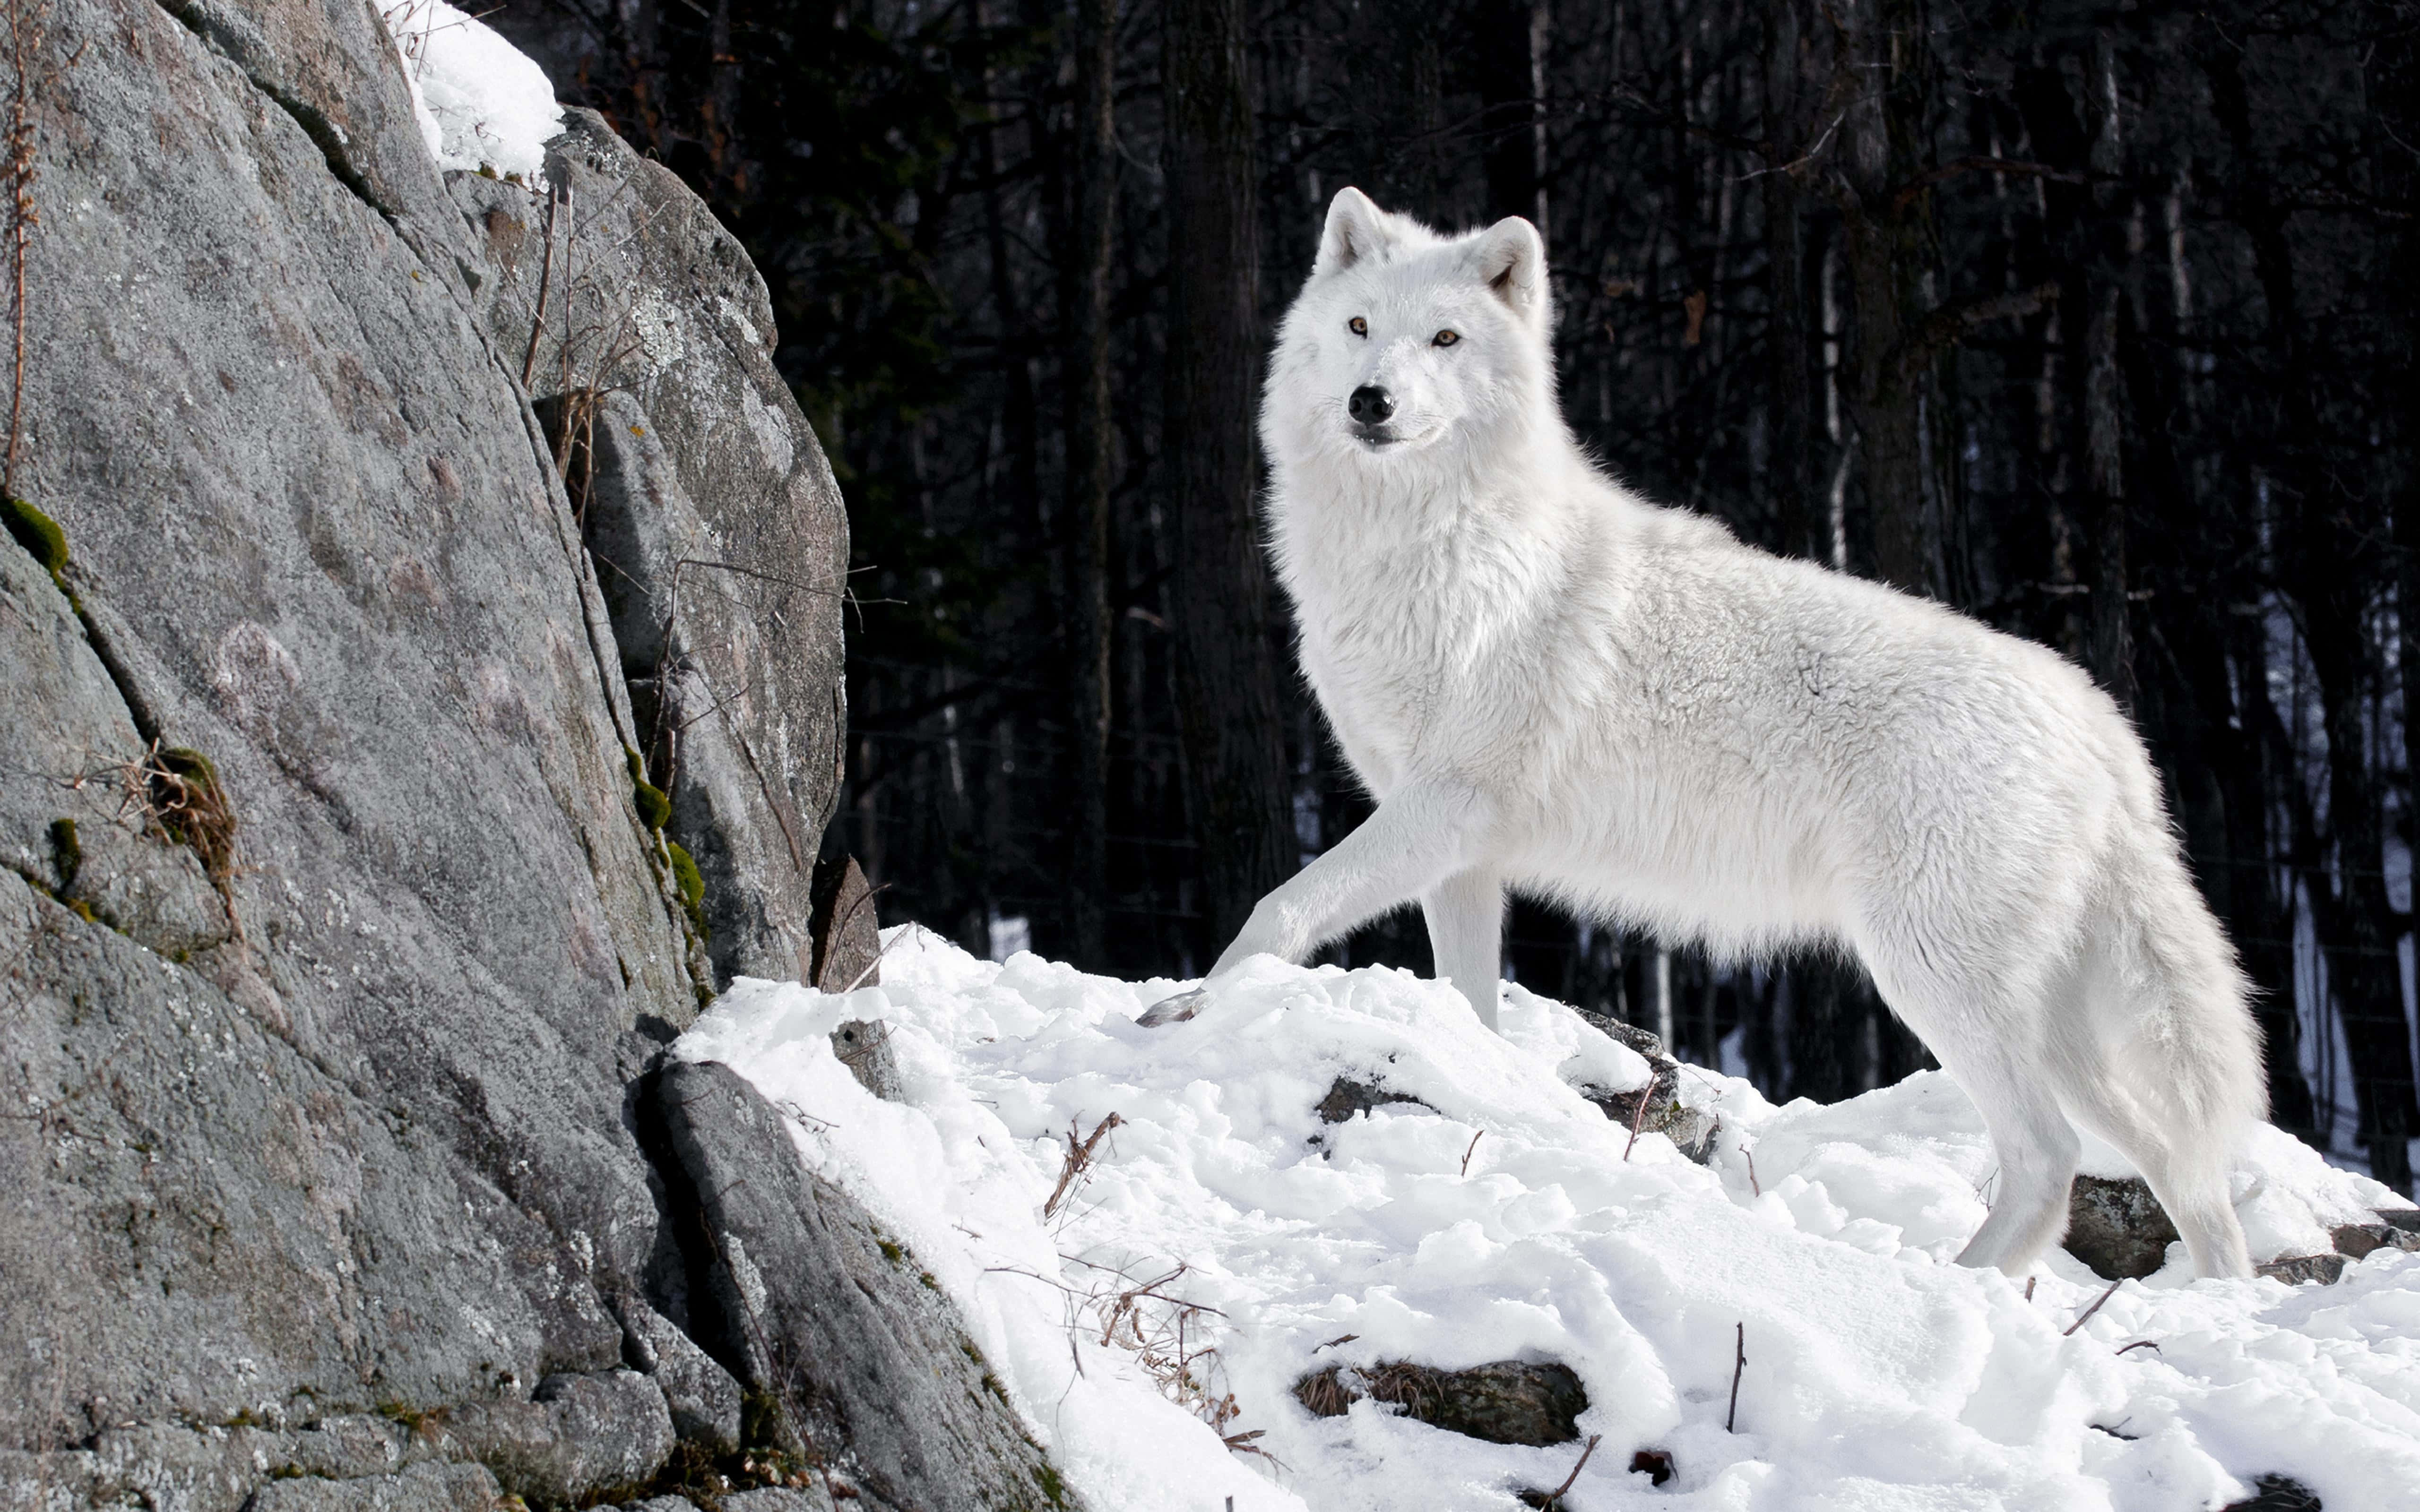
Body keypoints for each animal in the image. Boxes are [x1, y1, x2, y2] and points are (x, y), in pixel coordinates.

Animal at [1155, 187, 2266, 1281]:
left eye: (1444, 338)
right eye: (1358, 329)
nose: (1371, 402)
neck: (1428, 547)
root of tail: (2100, 721)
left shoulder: (1445, 805)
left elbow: (1279, 908)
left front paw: (1186, 1011)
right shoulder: (1457, 852)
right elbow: (1469, 1004)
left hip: (1931, 977)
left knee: (2050, 1158)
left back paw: (1944, 1288)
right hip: (2052, 1027)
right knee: (2181, 1167)